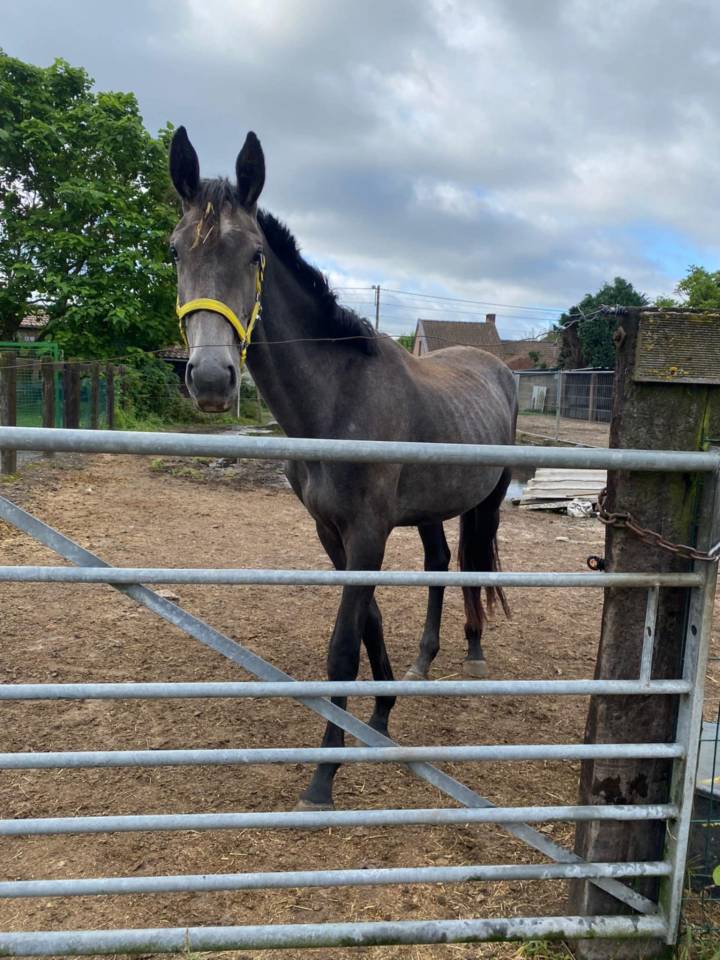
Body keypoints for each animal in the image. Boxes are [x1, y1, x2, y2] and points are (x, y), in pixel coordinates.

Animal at [168, 127, 517, 810]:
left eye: (255, 255)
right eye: (174, 251)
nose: (214, 379)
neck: (338, 400)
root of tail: (496, 367)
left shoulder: (367, 533)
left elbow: (340, 648)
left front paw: (324, 775)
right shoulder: (334, 534)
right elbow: (370, 625)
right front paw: (379, 718)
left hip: (485, 502)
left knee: (471, 563)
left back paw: (473, 652)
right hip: (431, 508)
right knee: (440, 563)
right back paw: (425, 660)